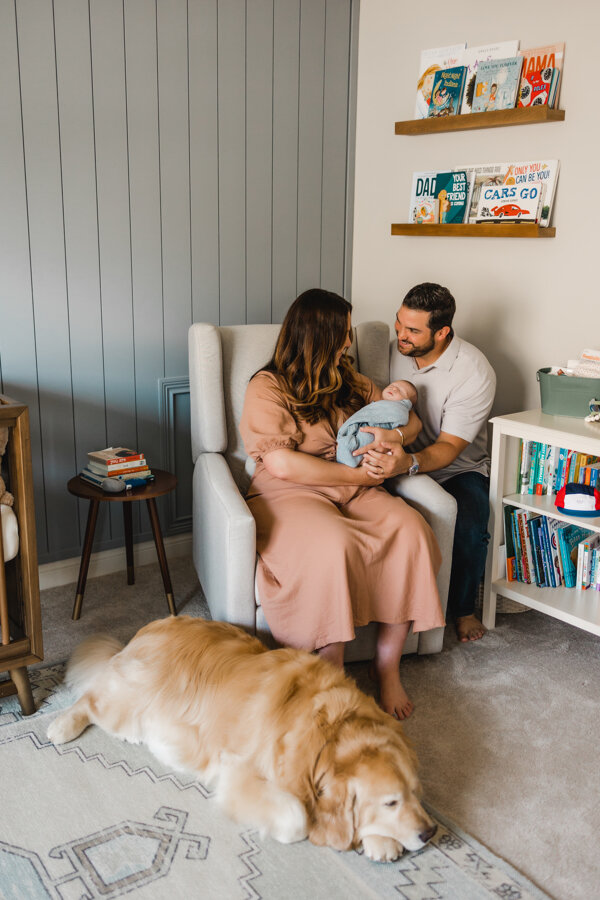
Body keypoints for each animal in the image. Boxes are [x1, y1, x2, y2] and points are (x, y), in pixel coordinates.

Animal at [47, 616, 436, 860]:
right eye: (390, 802)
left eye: (415, 793)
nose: (430, 833)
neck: (329, 735)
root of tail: (144, 633)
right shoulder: (242, 776)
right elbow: (298, 818)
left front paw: (379, 839)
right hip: (127, 705)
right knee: (89, 699)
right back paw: (61, 726)